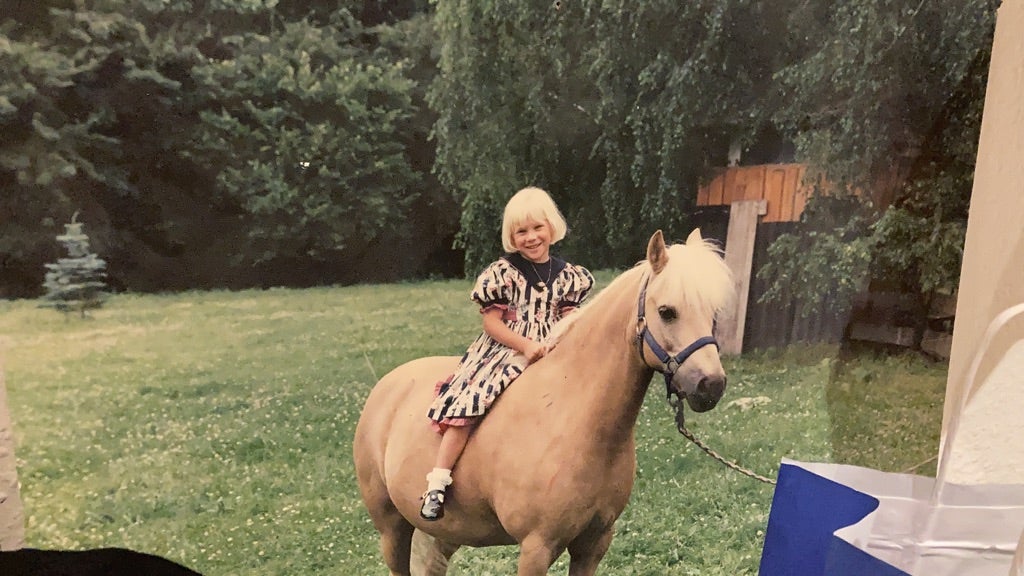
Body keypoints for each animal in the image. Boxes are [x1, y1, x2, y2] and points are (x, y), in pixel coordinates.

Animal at [353, 229, 734, 576]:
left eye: (713, 312)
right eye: (668, 311)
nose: (710, 385)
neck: (573, 416)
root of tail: (387, 385)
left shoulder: (593, 543)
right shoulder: (537, 546)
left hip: (445, 534)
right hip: (392, 528)